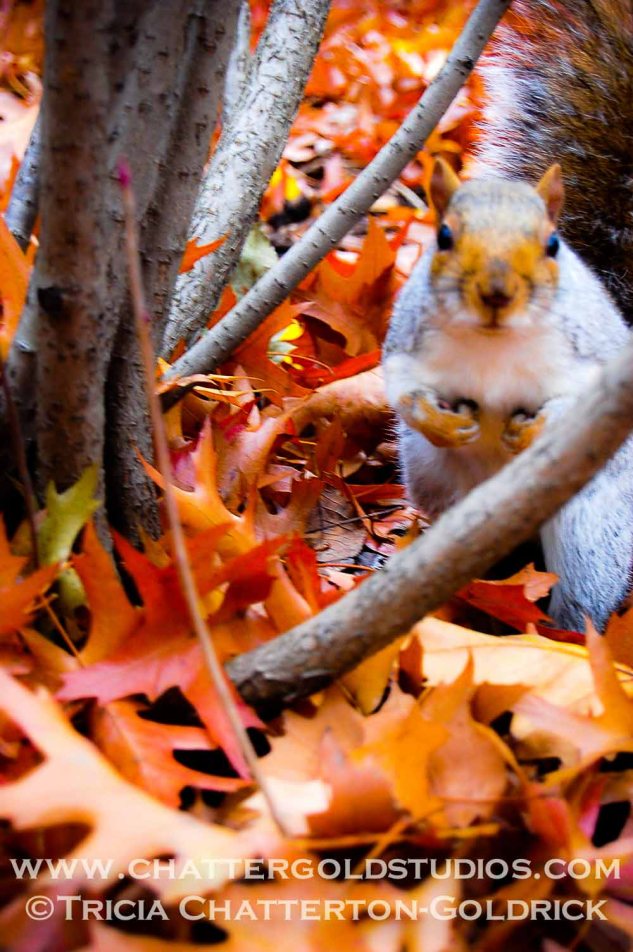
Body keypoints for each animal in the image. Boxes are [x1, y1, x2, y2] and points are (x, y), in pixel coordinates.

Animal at [382, 158, 633, 631]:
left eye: (552, 243)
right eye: (444, 237)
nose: (496, 292)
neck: (493, 342)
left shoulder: (591, 362)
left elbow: (575, 406)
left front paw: (531, 433)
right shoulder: (406, 344)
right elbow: (402, 392)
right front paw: (444, 423)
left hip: (589, 525)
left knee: (585, 591)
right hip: (435, 479)